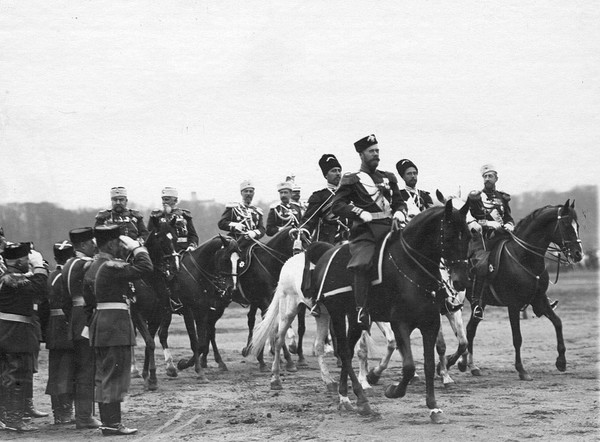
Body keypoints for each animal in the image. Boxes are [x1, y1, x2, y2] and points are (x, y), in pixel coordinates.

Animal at [129, 224, 180, 390]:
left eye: (175, 238)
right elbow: (150, 343)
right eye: (162, 240)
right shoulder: (137, 315)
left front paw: (149, 376)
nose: (175, 266)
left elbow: (149, 343)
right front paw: (151, 378)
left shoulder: (157, 316)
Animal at [172, 235, 240, 384]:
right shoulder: (189, 312)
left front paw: (186, 364)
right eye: (226, 259)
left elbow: (203, 342)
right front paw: (198, 370)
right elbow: (195, 341)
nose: (232, 290)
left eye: (239, 261)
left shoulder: (203, 311)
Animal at [312, 200, 472, 422]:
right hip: (336, 313)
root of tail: (326, 256)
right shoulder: (400, 324)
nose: (461, 281)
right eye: (448, 237)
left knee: (348, 351)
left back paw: (345, 397)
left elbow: (429, 365)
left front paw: (433, 407)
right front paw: (393, 390)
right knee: (344, 352)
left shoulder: (430, 323)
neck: (412, 268)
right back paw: (361, 400)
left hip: (355, 318)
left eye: (469, 237)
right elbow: (409, 366)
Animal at [460, 200, 580, 380]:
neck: (524, 257)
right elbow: (517, 337)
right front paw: (522, 370)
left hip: (480, 304)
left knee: (470, 329)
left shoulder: (539, 299)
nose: (578, 254)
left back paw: (471, 366)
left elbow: (558, 322)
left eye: (577, 225)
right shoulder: (513, 305)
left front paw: (561, 362)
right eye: (566, 225)